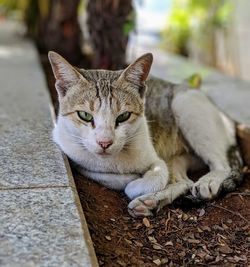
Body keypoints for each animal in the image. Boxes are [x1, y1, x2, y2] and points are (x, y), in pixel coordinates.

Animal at [47, 51, 243, 218]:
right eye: (85, 115)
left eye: (123, 116)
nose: (105, 142)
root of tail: (227, 117)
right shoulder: (74, 156)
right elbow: (101, 173)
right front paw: (131, 178)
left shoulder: (156, 160)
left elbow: (156, 176)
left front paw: (137, 183)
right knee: (184, 181)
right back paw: (150, 202)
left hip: (184, 103)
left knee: (222, 165)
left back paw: (207, 182)